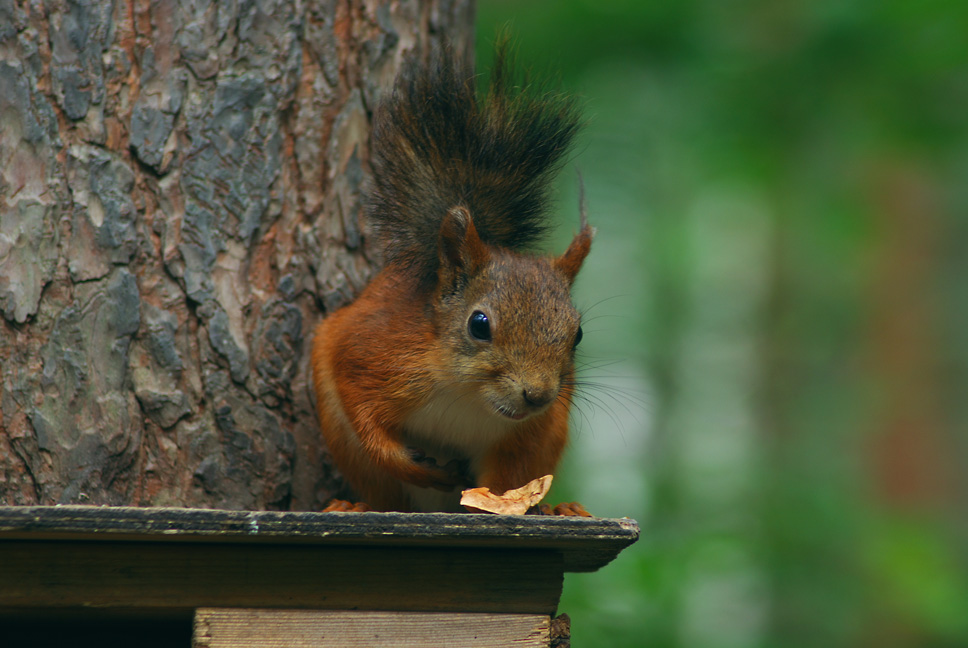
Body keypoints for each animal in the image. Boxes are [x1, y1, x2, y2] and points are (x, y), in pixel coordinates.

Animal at [314, 43, 592, 512]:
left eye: (578, 335)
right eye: (479, 325)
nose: (536, 395)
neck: (468, 394)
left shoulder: (532, 431)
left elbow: (507, 476)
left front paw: (501, 503)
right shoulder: (373, 354)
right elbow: (368, 424)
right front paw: (418, 468)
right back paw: (357, 505)